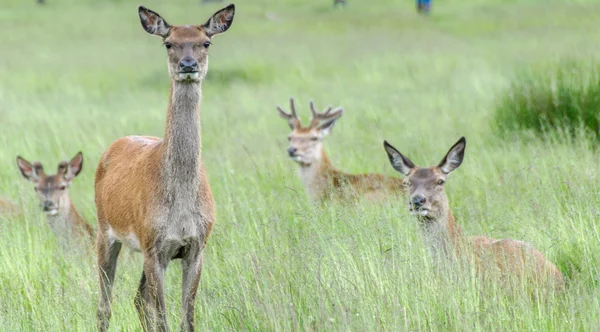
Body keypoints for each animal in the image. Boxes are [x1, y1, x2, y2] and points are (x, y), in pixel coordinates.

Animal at [93, 5, 234, 332]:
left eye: (206, 42)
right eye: (168, 43)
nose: (188, 64)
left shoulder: (195, 246)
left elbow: (187, 317)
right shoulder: (153, 245)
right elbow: (164, 316)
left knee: (138, 299)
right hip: (105, 230)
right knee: (105, 304)